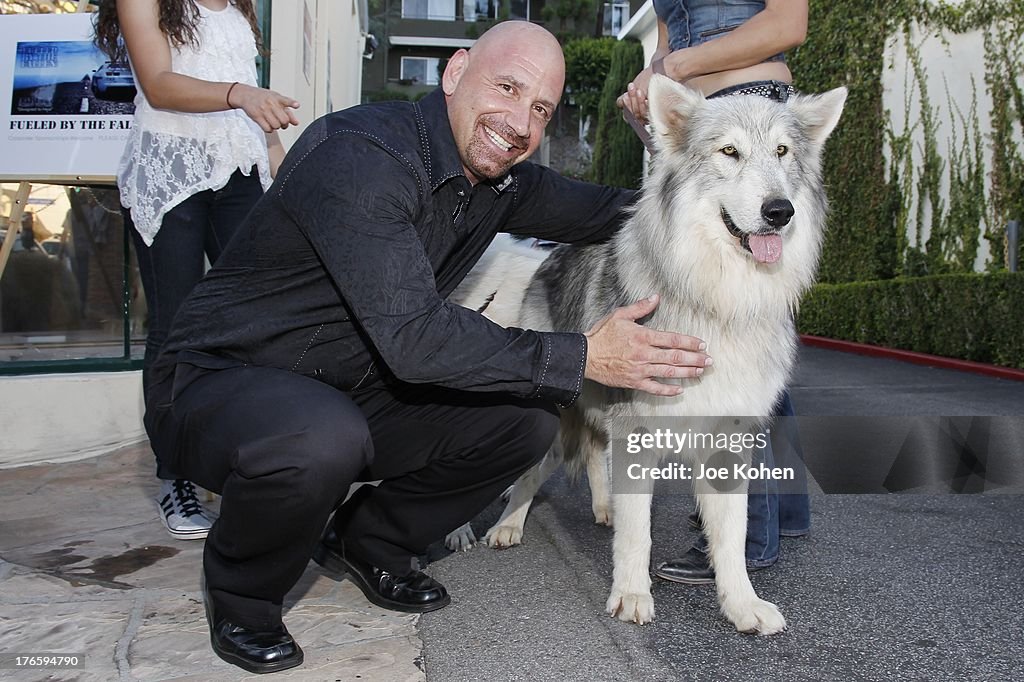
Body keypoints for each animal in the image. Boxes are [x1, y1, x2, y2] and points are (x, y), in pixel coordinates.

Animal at [444, 75, 843, 630]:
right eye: (730, 152)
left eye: (783, 152)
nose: (780, 211)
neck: (718, 301)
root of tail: (547, 259)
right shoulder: (635, 430)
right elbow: (638, 535)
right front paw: (632, 594)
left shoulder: (728, 442)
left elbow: (731, 536)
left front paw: (741, 604)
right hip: (551, 414)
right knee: (532, 471)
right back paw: (502, 525)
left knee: (594, 452)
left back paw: (603, 506)